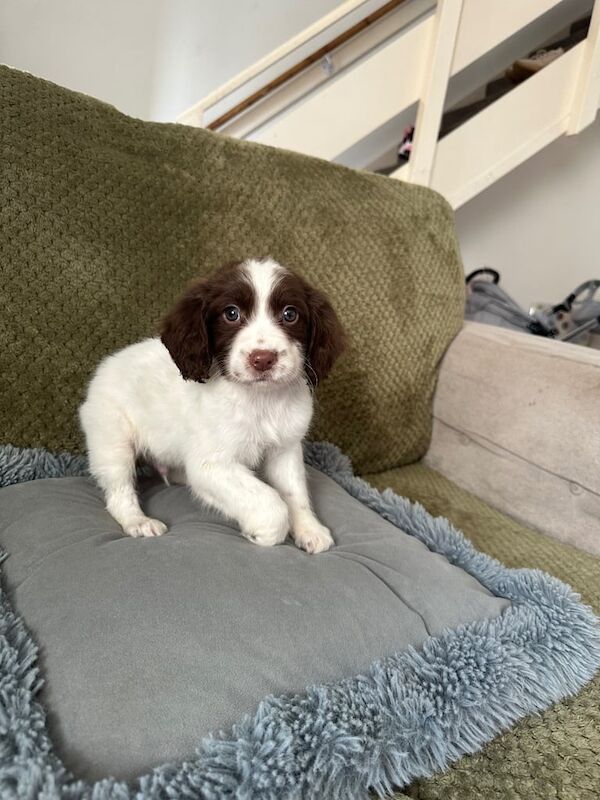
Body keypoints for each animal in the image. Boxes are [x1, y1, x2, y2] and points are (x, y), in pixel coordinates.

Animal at [78, 260, 346, 552]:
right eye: (231, 313)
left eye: (290, 314)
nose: (263, 359)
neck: (260, 399)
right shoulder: (211, 464)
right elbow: (271, 503)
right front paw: (263, 532)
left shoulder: (285, 449)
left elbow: (293, 492)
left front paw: (310, 529)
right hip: (112, 440)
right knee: (119, 490)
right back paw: (138, 521)